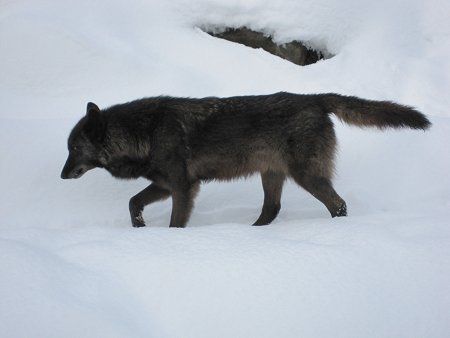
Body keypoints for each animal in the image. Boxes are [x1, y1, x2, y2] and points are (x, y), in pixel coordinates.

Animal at [59, 92, 428, 227]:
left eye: (74, 148)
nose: (61, 176)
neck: (145, 132)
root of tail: (315, 99)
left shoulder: (183, 187)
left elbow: (176, 222)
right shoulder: (165, 185)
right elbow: (133, 202)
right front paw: (138, 227)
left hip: (307, 176)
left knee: (338, 205)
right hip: (272, 175)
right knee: (272, 209)